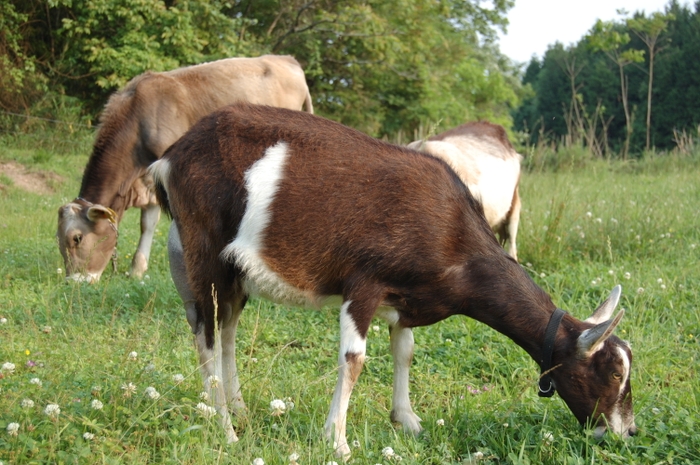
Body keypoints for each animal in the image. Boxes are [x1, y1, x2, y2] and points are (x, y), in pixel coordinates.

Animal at [57, 53, 314, 280]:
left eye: (77, 238)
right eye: (59, 240)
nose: (74, 282)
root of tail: (286, 59)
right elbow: (146, 223)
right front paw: (137, 271)